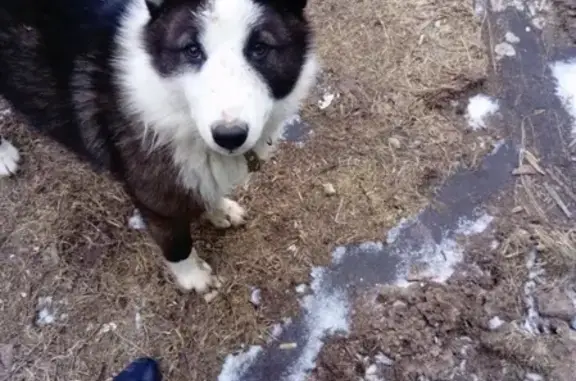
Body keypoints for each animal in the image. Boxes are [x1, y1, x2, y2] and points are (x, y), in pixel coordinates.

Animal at [0, 0, 320, 294]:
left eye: (259, 48)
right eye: (191, 50)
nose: (229, 137)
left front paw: (219, 211)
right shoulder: (155, 198)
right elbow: (176, 245)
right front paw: (194, 278)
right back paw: (4, 155)